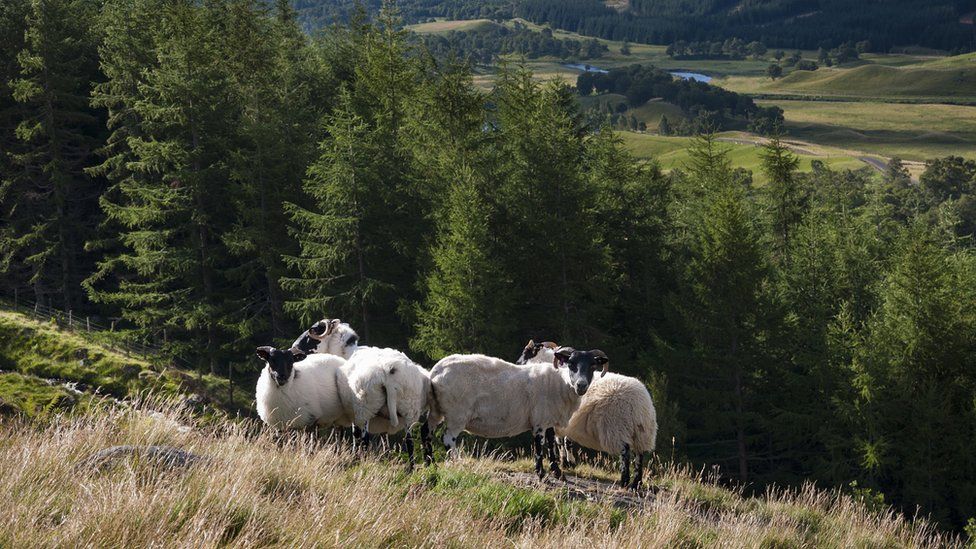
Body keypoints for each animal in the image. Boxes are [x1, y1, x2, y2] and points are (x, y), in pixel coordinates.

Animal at [428, 346, 608, 480]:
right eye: (571, 364)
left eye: (593, 366)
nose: (581, 385)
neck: (560, 383)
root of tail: (436, 371)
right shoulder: (539, 421)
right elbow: (539, 446)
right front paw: (541, 474)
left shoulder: (549, 419)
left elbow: (551, 444)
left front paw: (557, 472)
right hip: (456, 413)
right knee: (448, 438)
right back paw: (456, 463)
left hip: (436, 410)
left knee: (426, 432)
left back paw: (431, 464)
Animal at [516, 338, 660, 488]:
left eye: (525, 353)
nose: (518, 363)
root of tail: (640, 405)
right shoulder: (565, 422)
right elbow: (564, 441)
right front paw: (567, 462)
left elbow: (552, 441)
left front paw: (558, 467)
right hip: (642, 433)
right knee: (639, 455)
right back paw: (636, 483)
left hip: (617, 428)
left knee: (625, 453)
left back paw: (624, 481)